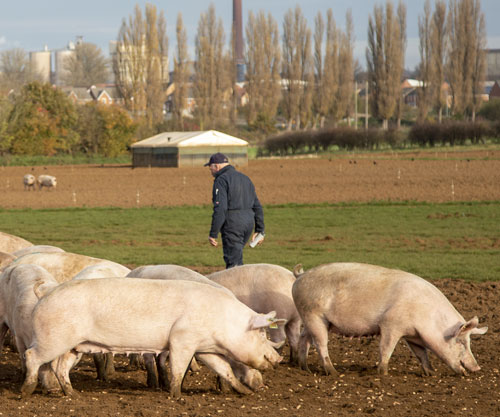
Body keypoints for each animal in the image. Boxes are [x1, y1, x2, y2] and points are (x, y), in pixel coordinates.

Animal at [20, 276, 286, 396]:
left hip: (74, 346)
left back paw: (72, 394)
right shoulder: (182, 340)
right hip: (51, 339)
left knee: (59, 367)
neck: (222, 321)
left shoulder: (204, 348)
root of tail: (45, 293)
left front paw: (246, 393)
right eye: (262, 333)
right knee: (31, 356)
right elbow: (177, 368)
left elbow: (224, 369)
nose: (279, 359)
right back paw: (26, 391)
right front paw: (176, 395)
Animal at [292, 264, 488, 376]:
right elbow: (386, 348)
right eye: (461, 342)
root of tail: (300, 276)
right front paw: (383, 374)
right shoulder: (391, 325)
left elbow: (421, 353)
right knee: (320, 344)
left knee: (304, 339)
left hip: (311, 319)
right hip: (313, 315)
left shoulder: (412, 335)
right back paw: (333, 372)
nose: (477, 368)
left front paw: (430, 374)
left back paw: (304, 368)